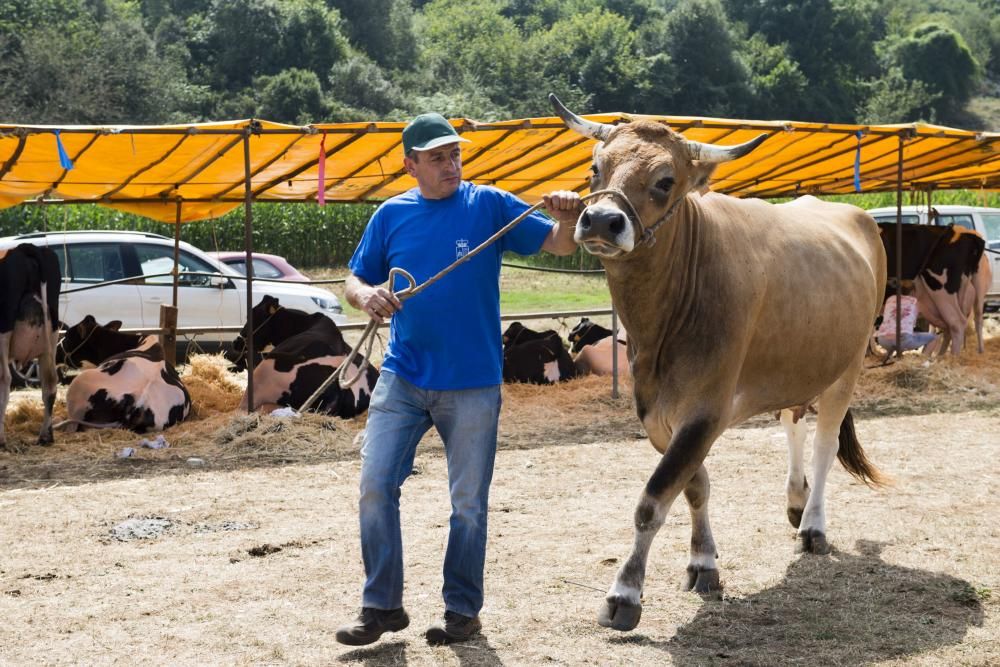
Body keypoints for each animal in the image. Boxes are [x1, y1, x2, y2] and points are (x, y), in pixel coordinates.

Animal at [0, 243, 61, 452]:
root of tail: (24, 248)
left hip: (3, 330)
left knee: (5, 379)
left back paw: (1, 440)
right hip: (52, 332)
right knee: (50, 382)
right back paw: (45, 436)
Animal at [552, 94, 888, 632]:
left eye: (665, 181)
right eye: (594, 168)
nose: (602, 220)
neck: (662, 325)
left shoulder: (706, 410)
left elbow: (654, 498)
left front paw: (625, 594)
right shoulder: (658, 414)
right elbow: (695, 486)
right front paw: (703, 564)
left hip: (849, 364)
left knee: (825, 441)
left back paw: (813, 526)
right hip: (798, 364)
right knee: (793, 419)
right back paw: (796, 500)